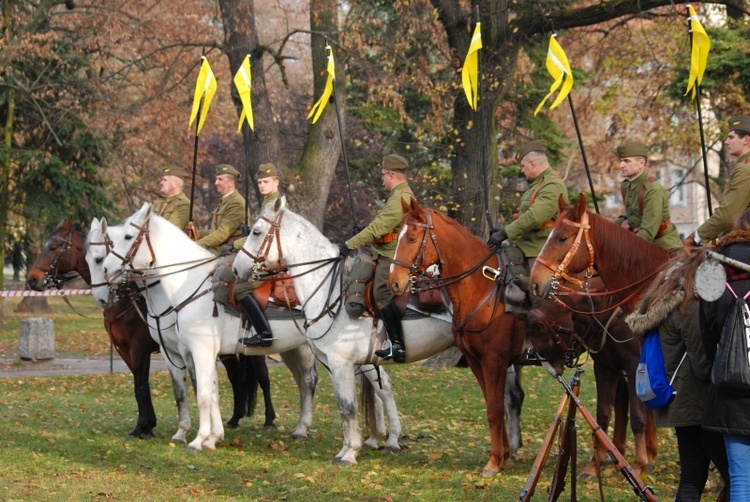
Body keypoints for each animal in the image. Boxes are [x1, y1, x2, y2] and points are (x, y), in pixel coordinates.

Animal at [26, 220, 280, 440]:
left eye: (53, 246)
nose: (31, 280)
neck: (129, 297)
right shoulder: (124, 350)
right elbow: (141, 385)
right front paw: (148, 425)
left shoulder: (140, 349)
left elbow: (140, 385)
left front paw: (142, 427)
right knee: (236, 376)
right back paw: (234, 419)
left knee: (262, 377)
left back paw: (268, 419)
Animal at [232, 197, 472, 466]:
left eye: (256, 232)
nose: (236, 269)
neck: (329, 290)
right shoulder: (349, 363)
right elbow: (350, 405)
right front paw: (351, 447)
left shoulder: (342, 363)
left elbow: (348, 407)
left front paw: (349, 452)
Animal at [388, 196, 528, 474]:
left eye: (412, 237)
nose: (394, 282)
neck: (484, 289)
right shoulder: (476, 361)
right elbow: (493, 406)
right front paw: (502, 455)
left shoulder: (494, 361)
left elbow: (495, 409)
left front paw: (494, 461)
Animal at [532, 193, 672, 474]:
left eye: (561, 237)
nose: (535, 281)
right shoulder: (605, 367)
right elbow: (603, 414)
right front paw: (596, 462)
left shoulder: (634, 365)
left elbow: (638, 415)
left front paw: (639, 464)